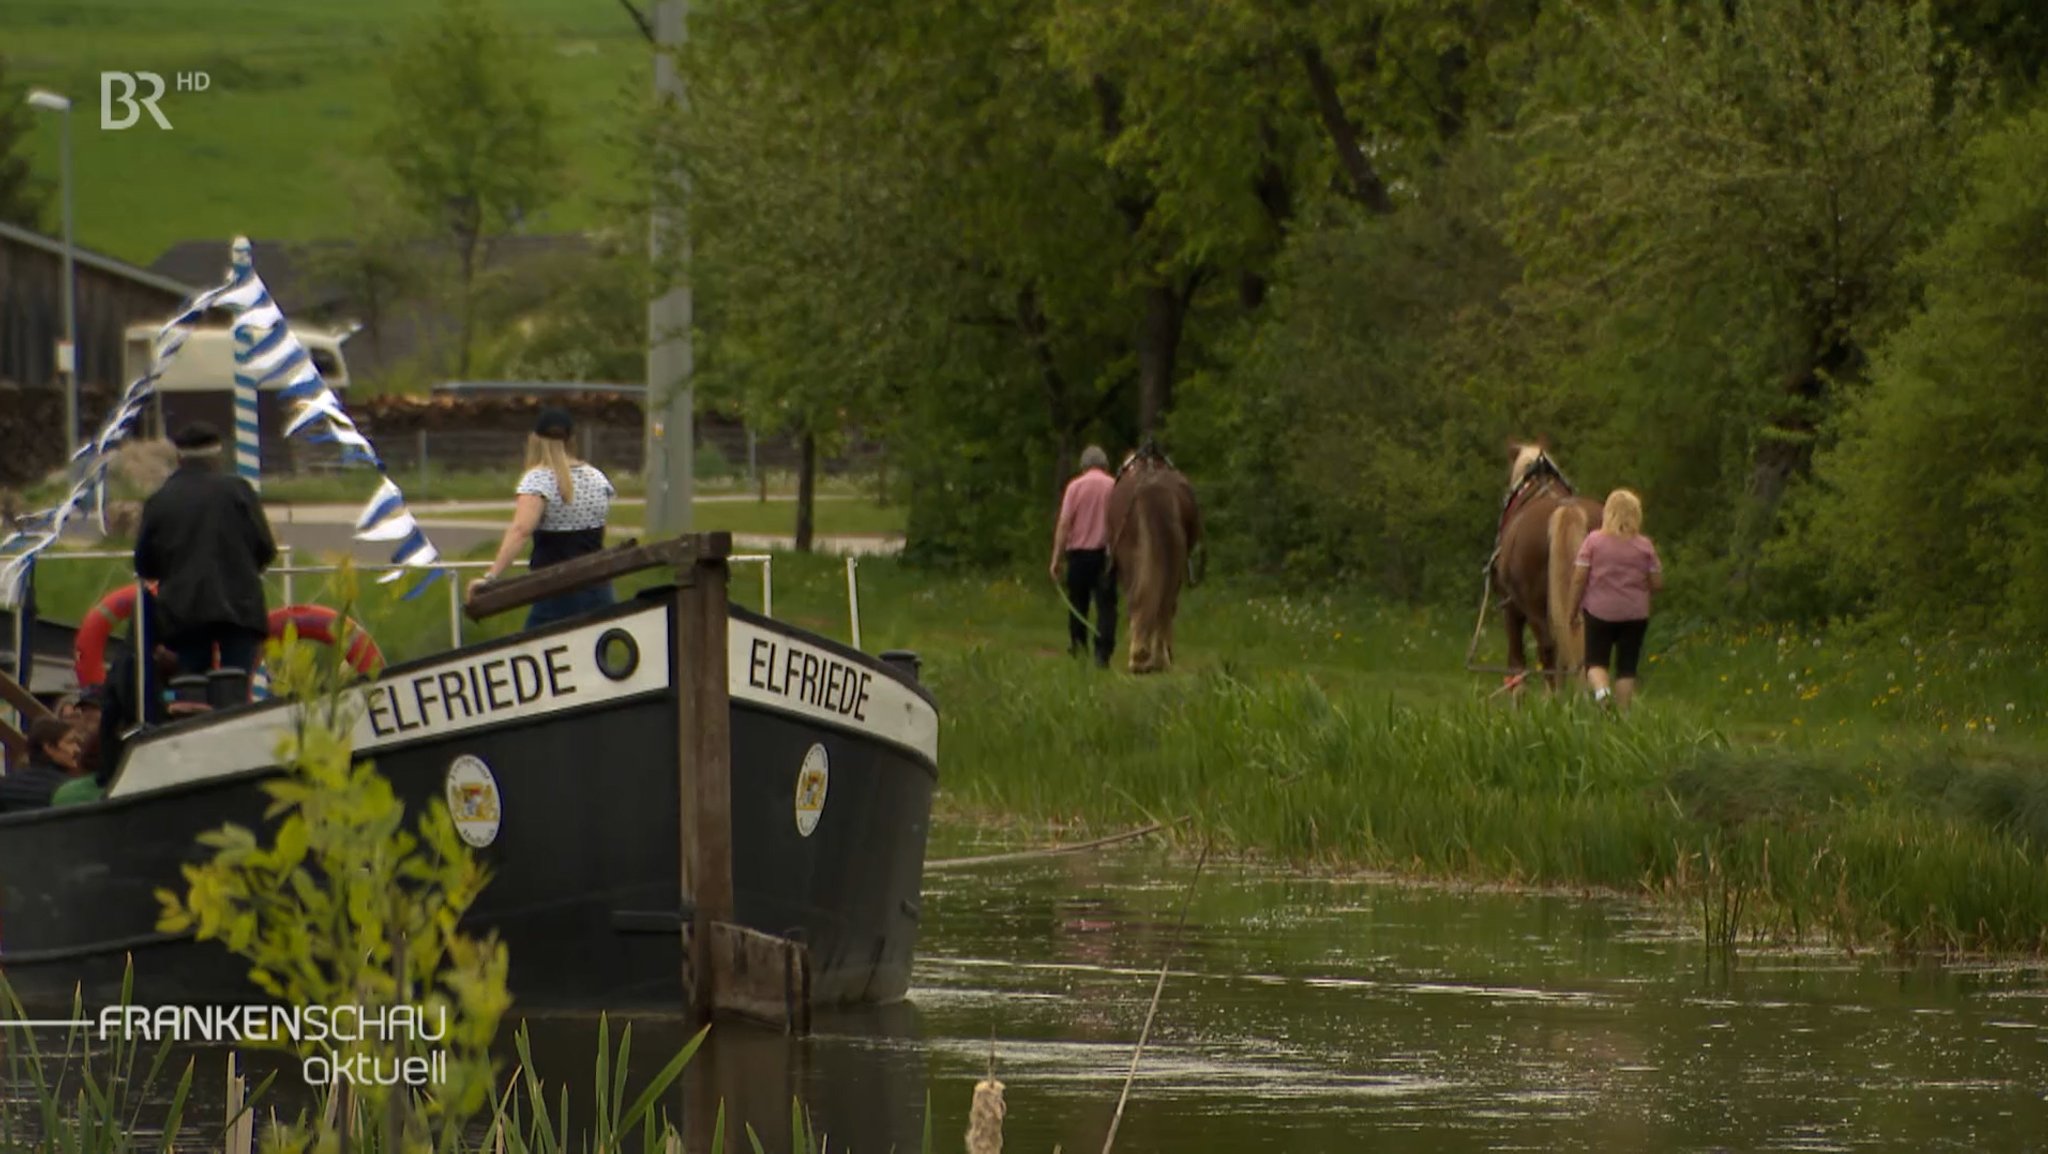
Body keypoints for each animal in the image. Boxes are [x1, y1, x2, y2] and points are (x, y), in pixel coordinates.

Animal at [1105, 442, 1196, 676]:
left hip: (1132, 558)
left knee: (1139, 599)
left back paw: (1141, 658)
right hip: (1173, 560)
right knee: (1165, 604)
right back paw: (1158, 659)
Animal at [1490, 446, 1597, 692]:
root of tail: (1566, 510)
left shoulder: (1510, 609)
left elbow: (1516, 661)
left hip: (1532, 607)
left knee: (1546, 649)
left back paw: (1553, 699)